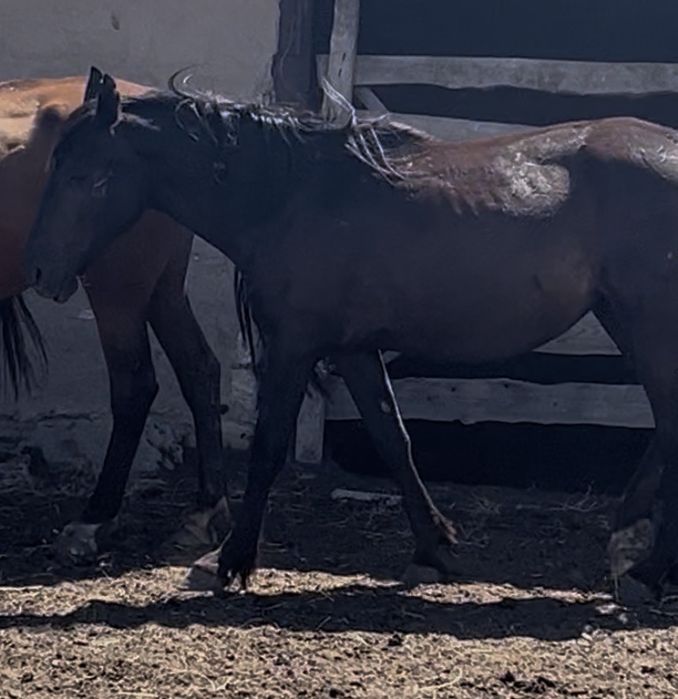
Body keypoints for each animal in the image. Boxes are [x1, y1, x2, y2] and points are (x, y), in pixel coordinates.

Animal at [1, 69, 229, 564]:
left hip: (118, 291)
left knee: (134, 385)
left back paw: (95, 517)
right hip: (163, 289)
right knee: (199, 369)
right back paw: (205, 509)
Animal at [24, 69, 678, 600]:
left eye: (87, 176)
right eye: (52, 166)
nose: (39, 272)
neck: (290, 197)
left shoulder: (294, 345)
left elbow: (268, 448)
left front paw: (231, 561)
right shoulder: (355, 350)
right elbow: (393, 439)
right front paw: (433, 550)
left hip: (648, 324)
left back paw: (646, 569)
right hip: (625, 319)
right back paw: (628, 541)